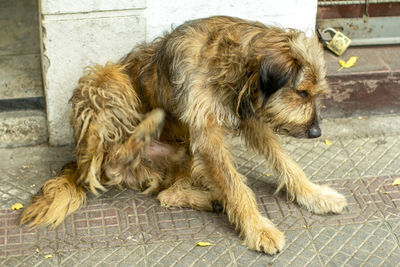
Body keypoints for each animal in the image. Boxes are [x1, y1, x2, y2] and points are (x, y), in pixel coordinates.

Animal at [21, 16, 346, 255]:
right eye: (301, 93)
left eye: (314, 93)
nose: (316, 132)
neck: (232, 65)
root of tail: (78, 161)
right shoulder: (207, 132)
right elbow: (235, 186)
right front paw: (258, 229)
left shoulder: (250, 121)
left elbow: (285, 162)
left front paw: (315, 195)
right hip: (106, 80)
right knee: (112, 157)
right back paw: (147, 128)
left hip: (182, 155)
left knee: (167, 193)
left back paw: (210, 198)